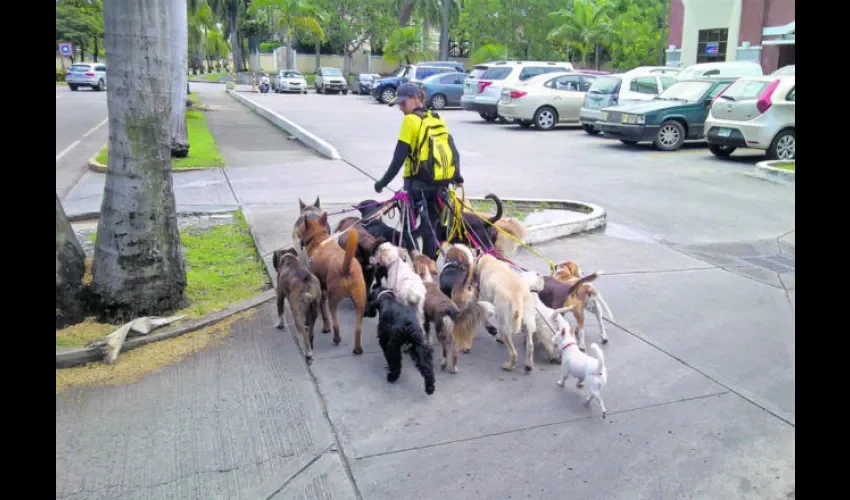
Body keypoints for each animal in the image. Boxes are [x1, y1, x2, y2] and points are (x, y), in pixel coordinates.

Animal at [300, 213, 366, 354]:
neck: (319, 239)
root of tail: (346, 266)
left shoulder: (322, 294)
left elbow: (324, 313)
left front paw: (326, 328)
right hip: (360, 302)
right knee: (358, 328)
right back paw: (357, 349)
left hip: (333, 301)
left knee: (336, 323)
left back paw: (336, 339)